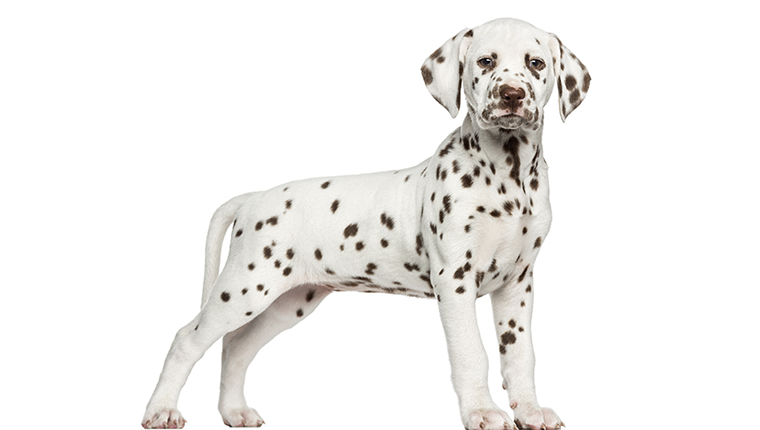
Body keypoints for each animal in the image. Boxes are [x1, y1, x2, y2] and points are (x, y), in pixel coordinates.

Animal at [145, 17, 592, 430]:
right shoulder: (455, 280)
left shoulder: (518, 283)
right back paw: (161, 410)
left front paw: (530, 411)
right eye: (486, 61)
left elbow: (520, 355)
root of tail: (252, 198)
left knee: (236, 348)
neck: (508, 172)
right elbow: (472, 353)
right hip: (244, 289)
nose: (511, 94)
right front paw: (481, 412)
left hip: (286, 303)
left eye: (535, 63)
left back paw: (234, 411)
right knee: (188, 339)